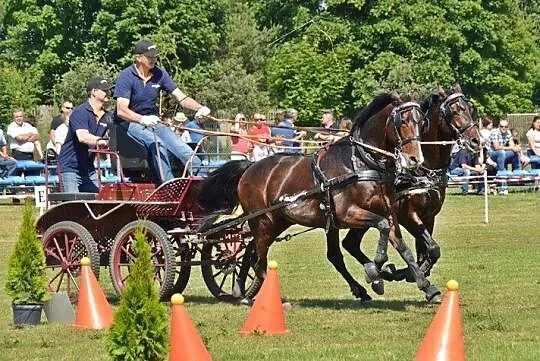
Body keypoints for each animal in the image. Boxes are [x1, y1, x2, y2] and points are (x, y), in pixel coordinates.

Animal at [198, 93, 442, 300]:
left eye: (421, 123)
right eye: (402, 121)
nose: (415, 159)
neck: (361, 162)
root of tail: (249, 167)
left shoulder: (390, 212)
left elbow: (403, 247)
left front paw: (427, 287)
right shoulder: (348, 214)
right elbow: (381, 227)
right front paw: (375, 271)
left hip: (277, 221)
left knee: (254, 255)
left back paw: (241, 292)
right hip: (263, 222)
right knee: (256, 260)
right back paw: (266, 298)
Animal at [340, 86, 484, 286]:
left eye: (470, 109)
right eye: (454, 111)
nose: (476, 141)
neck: (422, 171)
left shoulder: (429, 217)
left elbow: (427, 251)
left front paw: (412, 272)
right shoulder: (408, 216)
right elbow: (432, 248)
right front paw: (406, 273)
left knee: (350, 244)